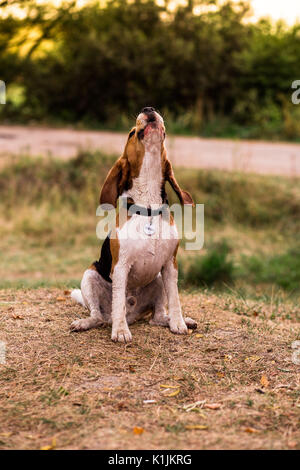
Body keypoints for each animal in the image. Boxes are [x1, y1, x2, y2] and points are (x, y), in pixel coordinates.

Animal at [70, 107, 197, 342]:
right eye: (131, 133)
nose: (149, 109)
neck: (148, 207)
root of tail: (134, 315)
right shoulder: (120, 267)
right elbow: (118, 301)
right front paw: (120, 331)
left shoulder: (170, 265)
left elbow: (175, 300)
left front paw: (178, 323)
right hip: (89, 276)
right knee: (99, 316)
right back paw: (89, 322)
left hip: (158, 279)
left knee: (157, 317)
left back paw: (175, 320)